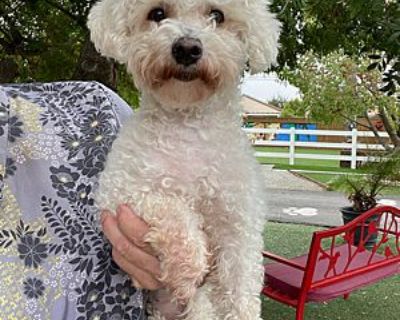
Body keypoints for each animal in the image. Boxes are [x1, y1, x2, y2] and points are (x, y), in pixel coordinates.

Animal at [88, 0, 280, 318]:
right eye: (157, 14)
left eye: (217, 15)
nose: (187, 48)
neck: (188, 128)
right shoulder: (119, 192)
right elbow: (172, 210)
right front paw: (187, 267)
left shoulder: (239, 221)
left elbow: (241, 285)